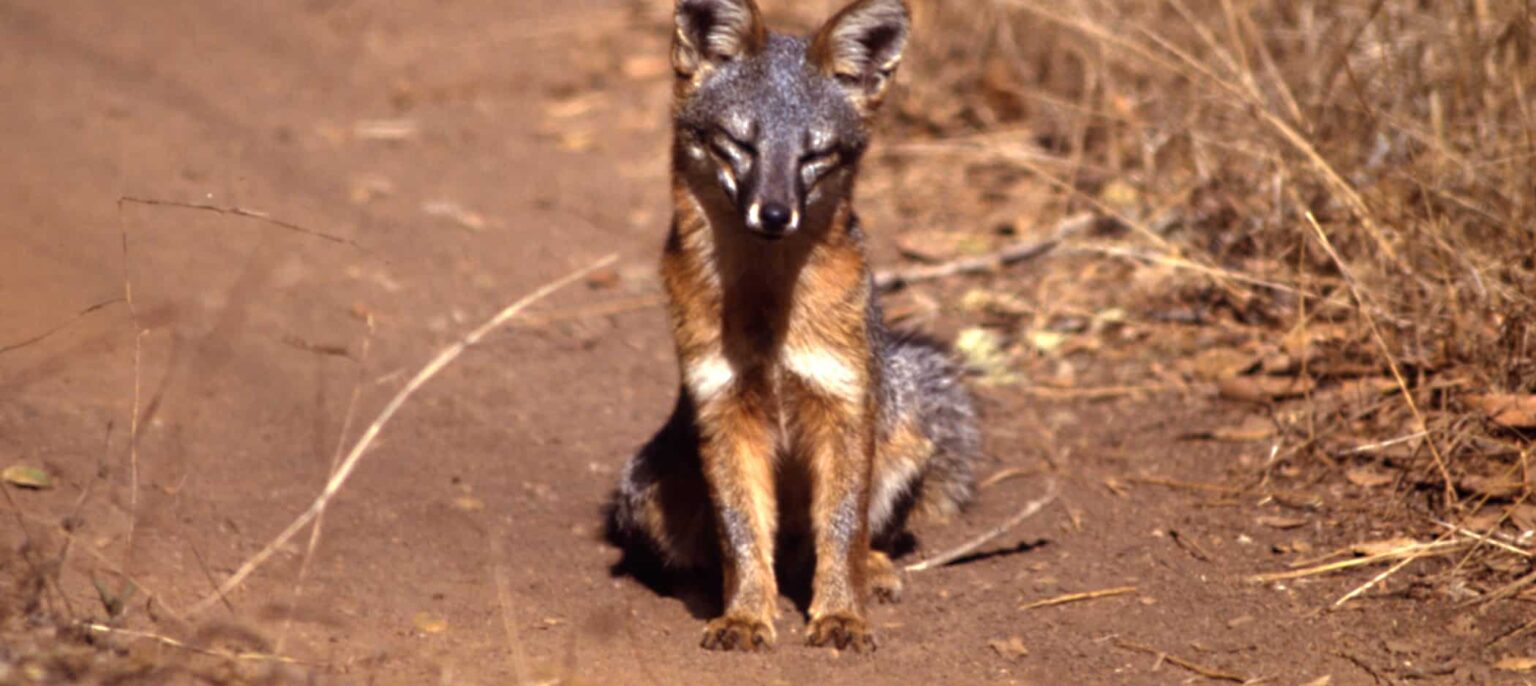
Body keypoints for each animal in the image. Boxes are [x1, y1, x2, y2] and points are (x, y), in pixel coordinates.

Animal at [607, 0, 979, 653]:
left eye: (814, 155)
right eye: (740, 144)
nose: (776, 214)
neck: (766, 305)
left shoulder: (843, 402)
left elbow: (842, 528)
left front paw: (841, 615)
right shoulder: (722, 407)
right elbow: (741, 533)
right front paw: (746, 615)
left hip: (903, 436)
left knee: (837, 544)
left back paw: (872, 572)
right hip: (646, 487)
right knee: (721, 555)